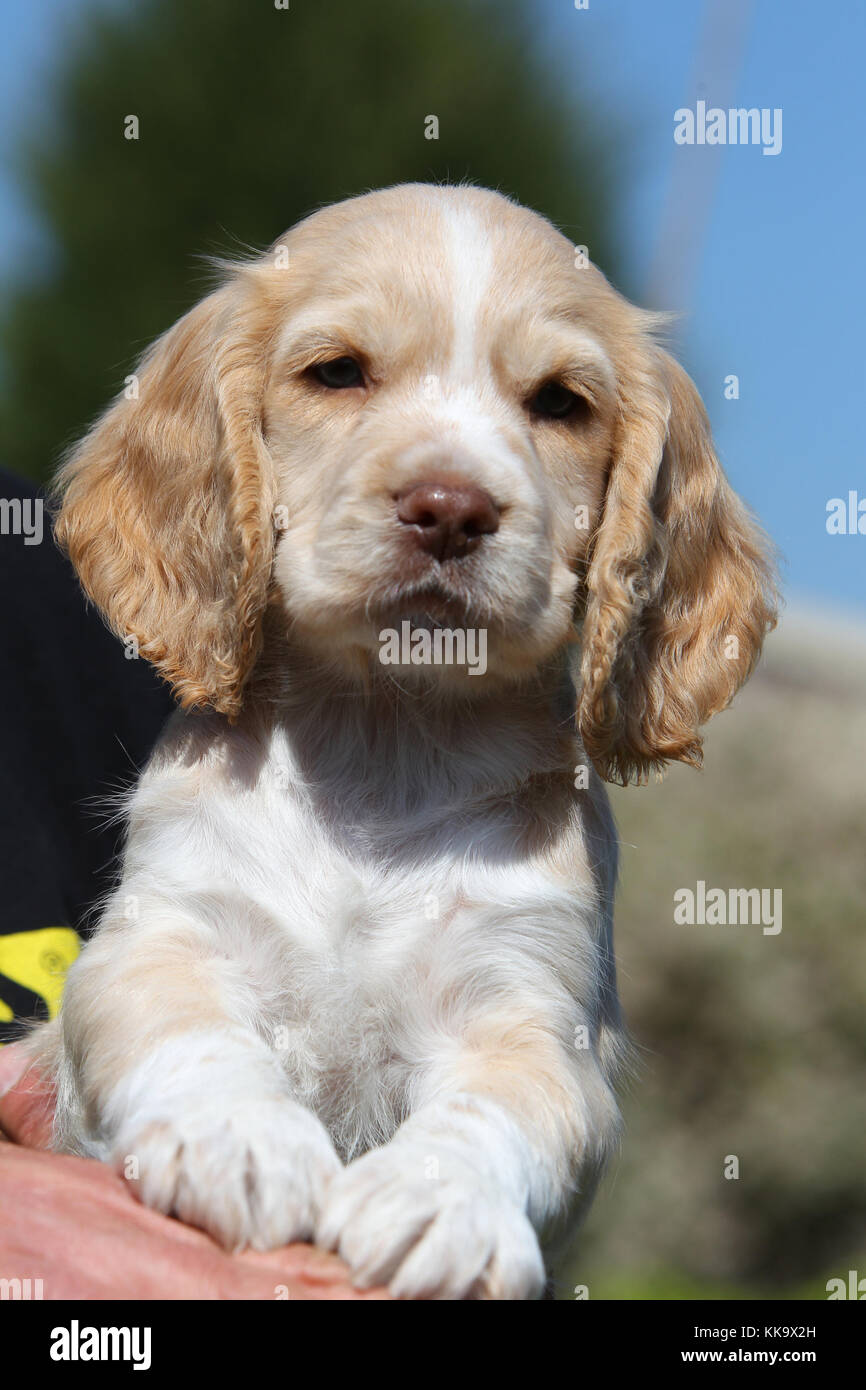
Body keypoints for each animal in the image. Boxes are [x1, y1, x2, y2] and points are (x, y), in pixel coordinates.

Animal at [33, 179, 778, 1295]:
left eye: (559, 402)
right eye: (337, 372)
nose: (451, 508)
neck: (384, 742)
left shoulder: (532, 1019)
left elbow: (498, 1112)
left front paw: (442, 1205)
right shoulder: (160, 936)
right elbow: (189, 1030)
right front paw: (239, 1140)